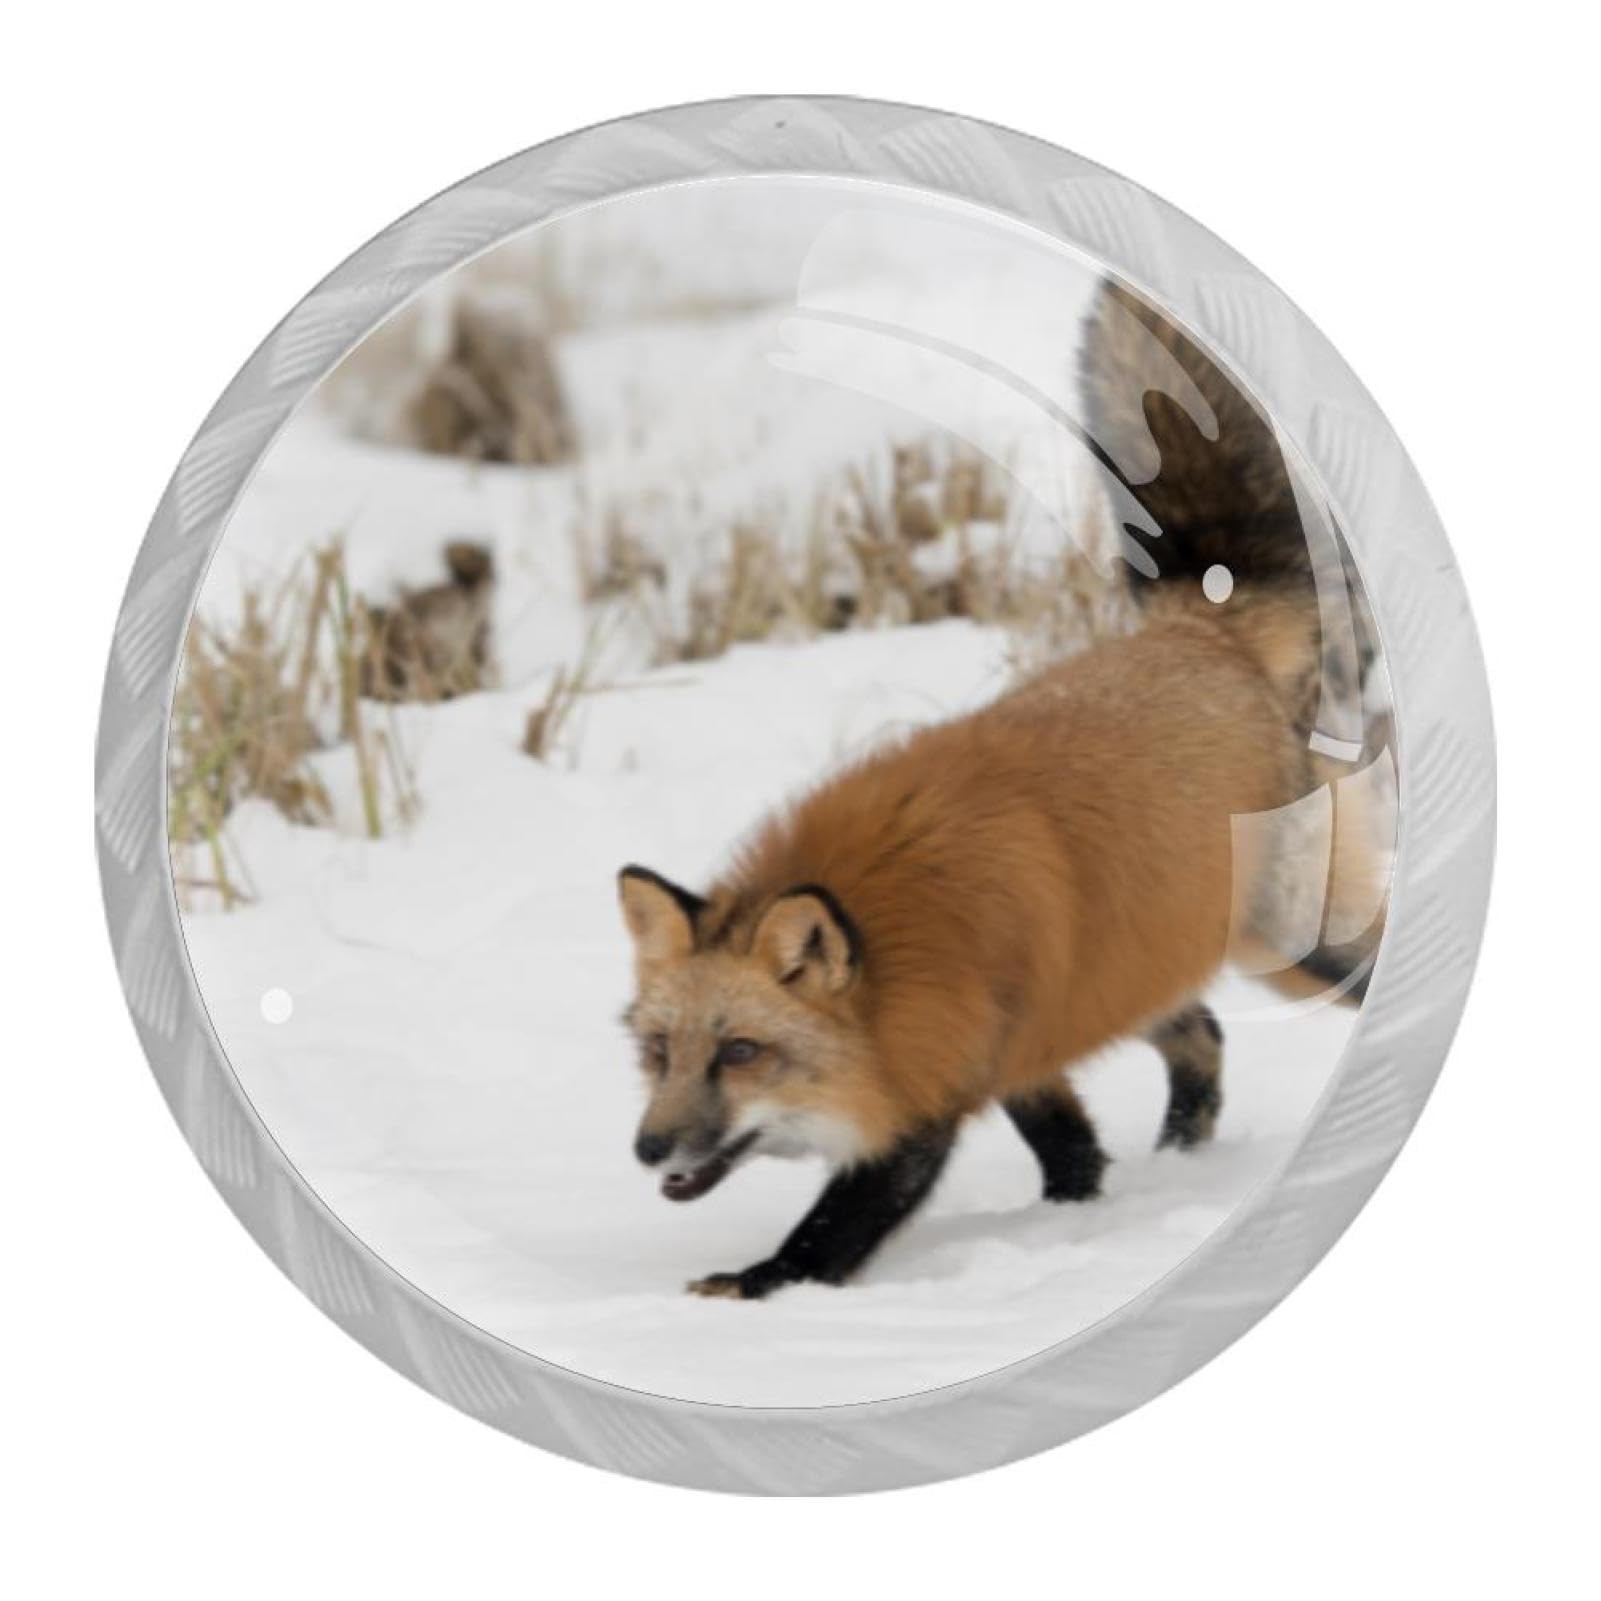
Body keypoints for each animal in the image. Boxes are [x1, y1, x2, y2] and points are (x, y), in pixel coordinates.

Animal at [617, 279, 1391, 1301]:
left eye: (742, 1052)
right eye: (659, 1053)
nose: (647, 1147)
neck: (898, 942)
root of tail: (1198, 634)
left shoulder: (938, 1082)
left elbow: (837, 1228)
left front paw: (755, 1289)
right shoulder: (1003, 1043)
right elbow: (1071, 1150)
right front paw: (1070, 1220)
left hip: (1289, 942)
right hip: (1130, 965)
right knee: (1204, 1036)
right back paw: (1181, 1158)